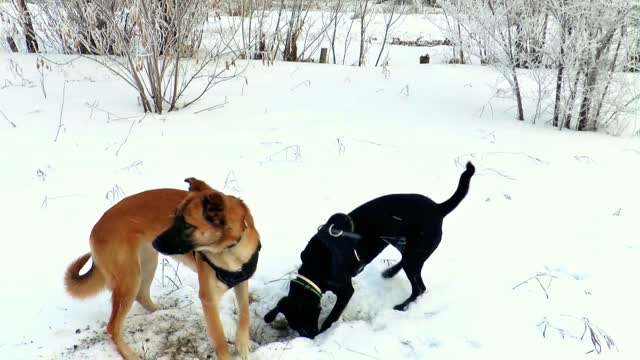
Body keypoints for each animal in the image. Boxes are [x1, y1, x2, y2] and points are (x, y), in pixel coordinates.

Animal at [62, 178, 258, 360]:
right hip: (130, 278)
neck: (230, 248)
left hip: (147, 264)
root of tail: (96, 228)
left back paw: (160, 311)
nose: (156, 242)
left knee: (141, 296)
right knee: (112, 327)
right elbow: (220, 339)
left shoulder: (241, 281)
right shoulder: (208, 299)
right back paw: (129, 354)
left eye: (186, 225)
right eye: (174, 218)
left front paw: (242, 343)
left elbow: (245, 312)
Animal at [262, 162, 476, 338]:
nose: (311, 338)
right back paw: (390, 272)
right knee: (406, 265)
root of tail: (439, 208)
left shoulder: (346, 290)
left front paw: (325, 332)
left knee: (419, 287)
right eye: (297, 326)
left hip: (416, 250)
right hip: (401, 243)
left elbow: (332, 316)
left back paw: (401, 306)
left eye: (306, 323)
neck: (316, 266)